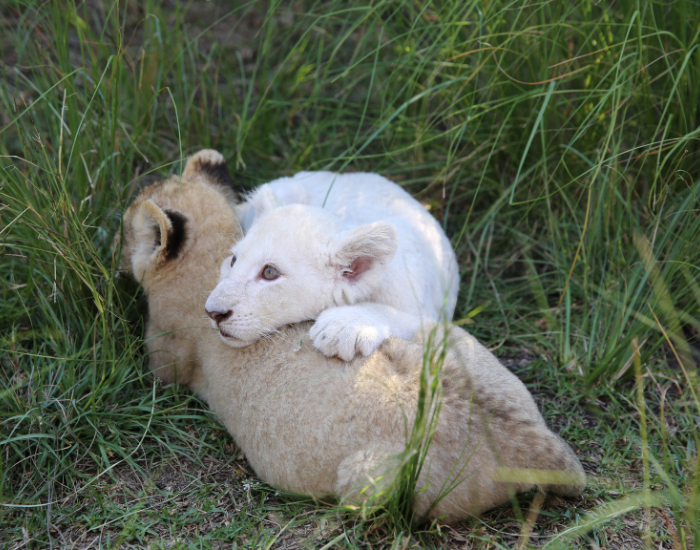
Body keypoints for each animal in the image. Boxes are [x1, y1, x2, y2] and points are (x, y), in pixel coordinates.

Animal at [206, 174, 459, 361]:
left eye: (270, 273)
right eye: (234, 261)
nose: (212, 312)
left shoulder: (431, 315)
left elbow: (400, 316)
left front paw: (342, 327)